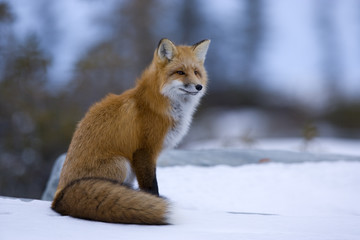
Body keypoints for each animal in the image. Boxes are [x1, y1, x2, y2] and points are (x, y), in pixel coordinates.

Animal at [52, 38, 212, 224]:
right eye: (180, 72)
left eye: (196, 72)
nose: (199, 87)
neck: (158, 105)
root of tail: (58, 198)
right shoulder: (144, 151)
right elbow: (150, 187)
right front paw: (153, 203)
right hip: (121, 164)